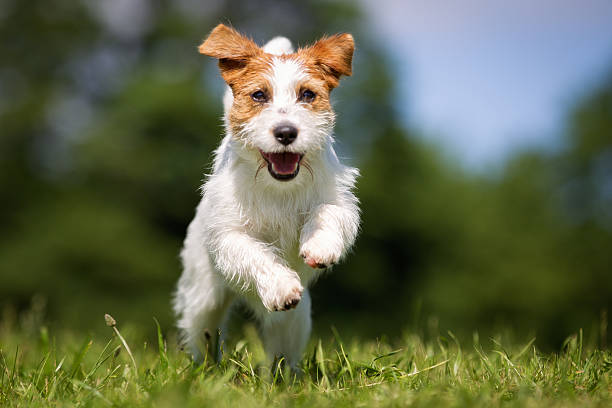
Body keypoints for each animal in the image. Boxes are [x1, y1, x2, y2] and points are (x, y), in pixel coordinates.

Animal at [172, 23, 360, 370]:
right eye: (259, 95)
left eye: (307, 94)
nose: (286, 132)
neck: (278, 187)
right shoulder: (229, 233)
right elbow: (255, 253)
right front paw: (281, 286)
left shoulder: (337, 199)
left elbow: (327, 212)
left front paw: (320, 246)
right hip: (203, 298)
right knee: (203, 333)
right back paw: (204, 370)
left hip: (295, 322)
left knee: (281, 351)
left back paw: (281, 377)